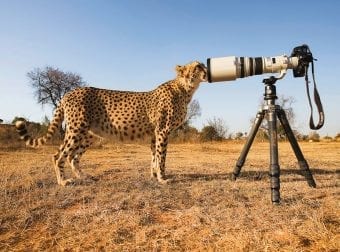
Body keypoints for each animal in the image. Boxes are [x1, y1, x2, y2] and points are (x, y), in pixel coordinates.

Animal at [16, 61, 207, 185]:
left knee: (72, 157)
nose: (206, 72)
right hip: (76, 130)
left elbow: (154, 156)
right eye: (198, 66)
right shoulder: (162, 131)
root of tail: (69, 92)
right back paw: (63, 181)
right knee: (59, 156)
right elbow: (161, 157)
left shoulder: (155, 134)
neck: (185, 89)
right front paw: (162, 178)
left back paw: (83, 177)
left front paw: (154, 176)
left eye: (203, 65)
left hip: (87, 134)